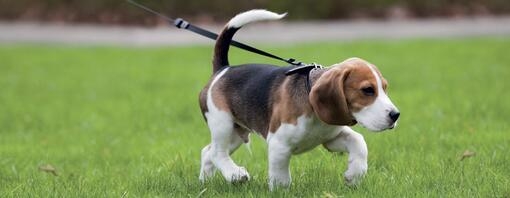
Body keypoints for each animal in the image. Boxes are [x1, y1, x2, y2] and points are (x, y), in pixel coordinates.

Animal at [197, 9, 400, 190]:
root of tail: (223, 69)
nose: (395, 115)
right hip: (222, 123)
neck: (314, 111)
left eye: (385, 88)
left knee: (207, 152)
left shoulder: (331, 138)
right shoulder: (279, 144)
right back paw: (235, 174)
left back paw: (205, 183)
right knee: (217, 153)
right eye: (367, 90)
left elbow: (358, 141)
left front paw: (355, 175)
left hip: (236, 133)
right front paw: (280, 190)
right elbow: (281, 176)